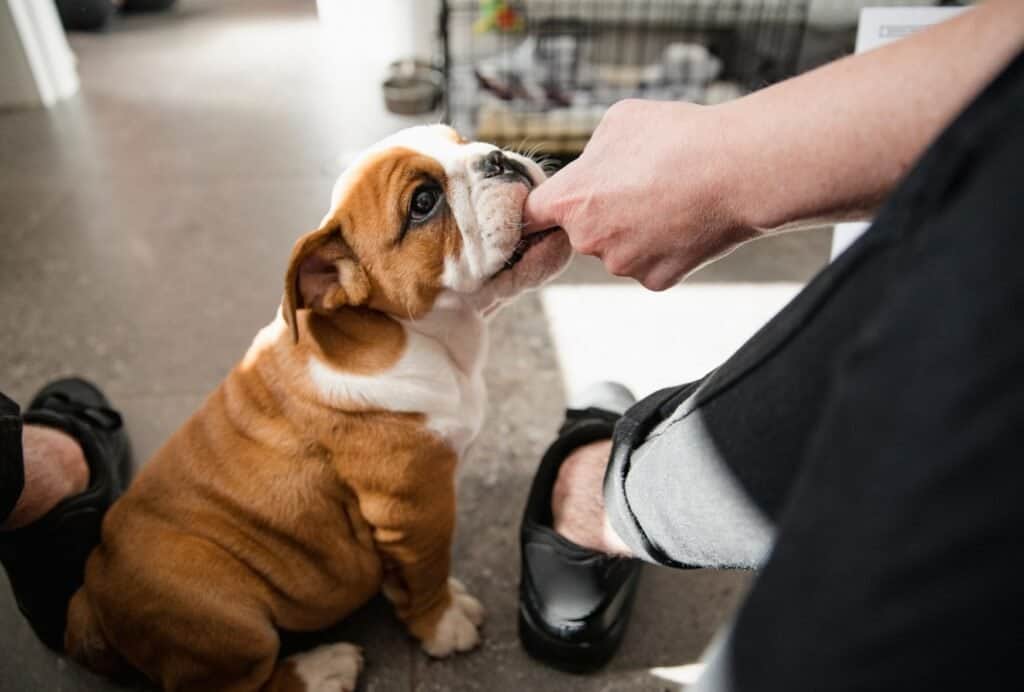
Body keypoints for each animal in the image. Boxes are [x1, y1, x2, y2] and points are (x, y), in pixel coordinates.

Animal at [62, 125, 573, 692]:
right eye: (423, 203)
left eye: (462, 141)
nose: (496, 158)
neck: (413, 335)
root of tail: (92, 596)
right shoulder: (415, 507)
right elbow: (427, 569)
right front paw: (441, 623)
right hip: (229, 616)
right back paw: (324, 667)